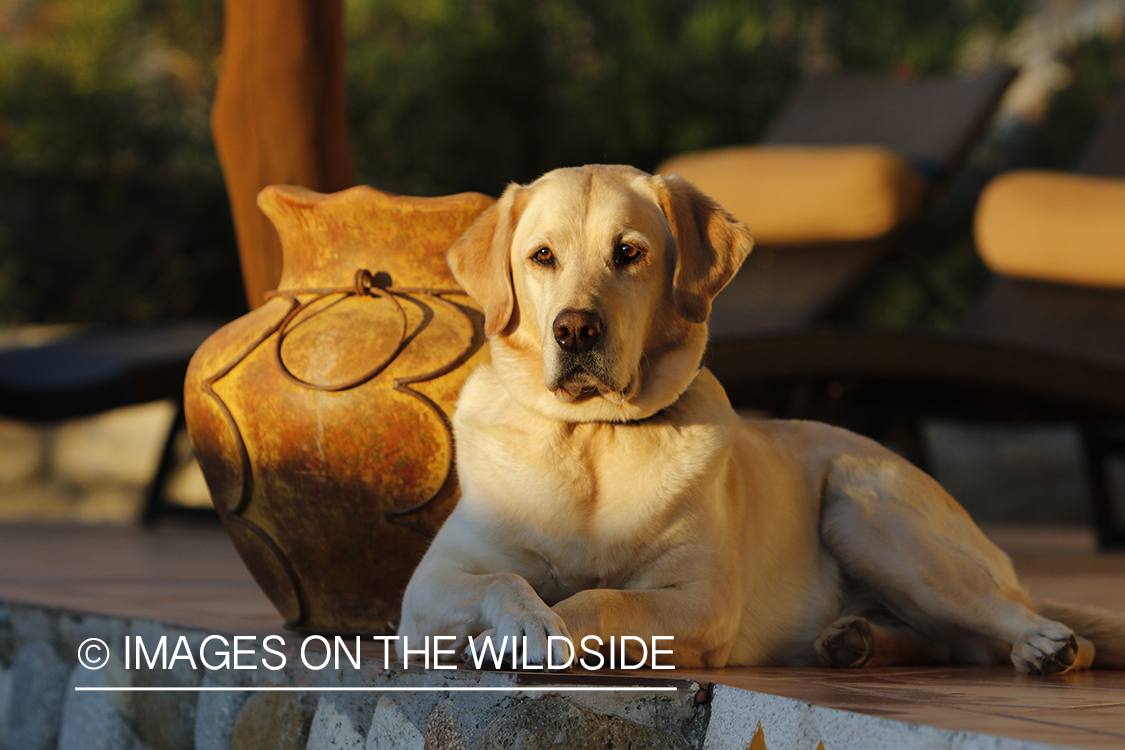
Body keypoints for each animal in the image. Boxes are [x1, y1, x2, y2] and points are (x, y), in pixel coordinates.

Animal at [400, 165, 1120, 674]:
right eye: (541, 256)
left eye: (629, 253)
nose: (575, 329)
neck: (591, 439)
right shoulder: (427, 589)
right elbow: (506, 577)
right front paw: (526, 621)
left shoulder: (700, 600)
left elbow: (601, 599)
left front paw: (553, 625)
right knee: (945, 644)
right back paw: (853, 639)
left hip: (864, 509)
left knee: (1029, 627)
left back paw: (1043, 645)